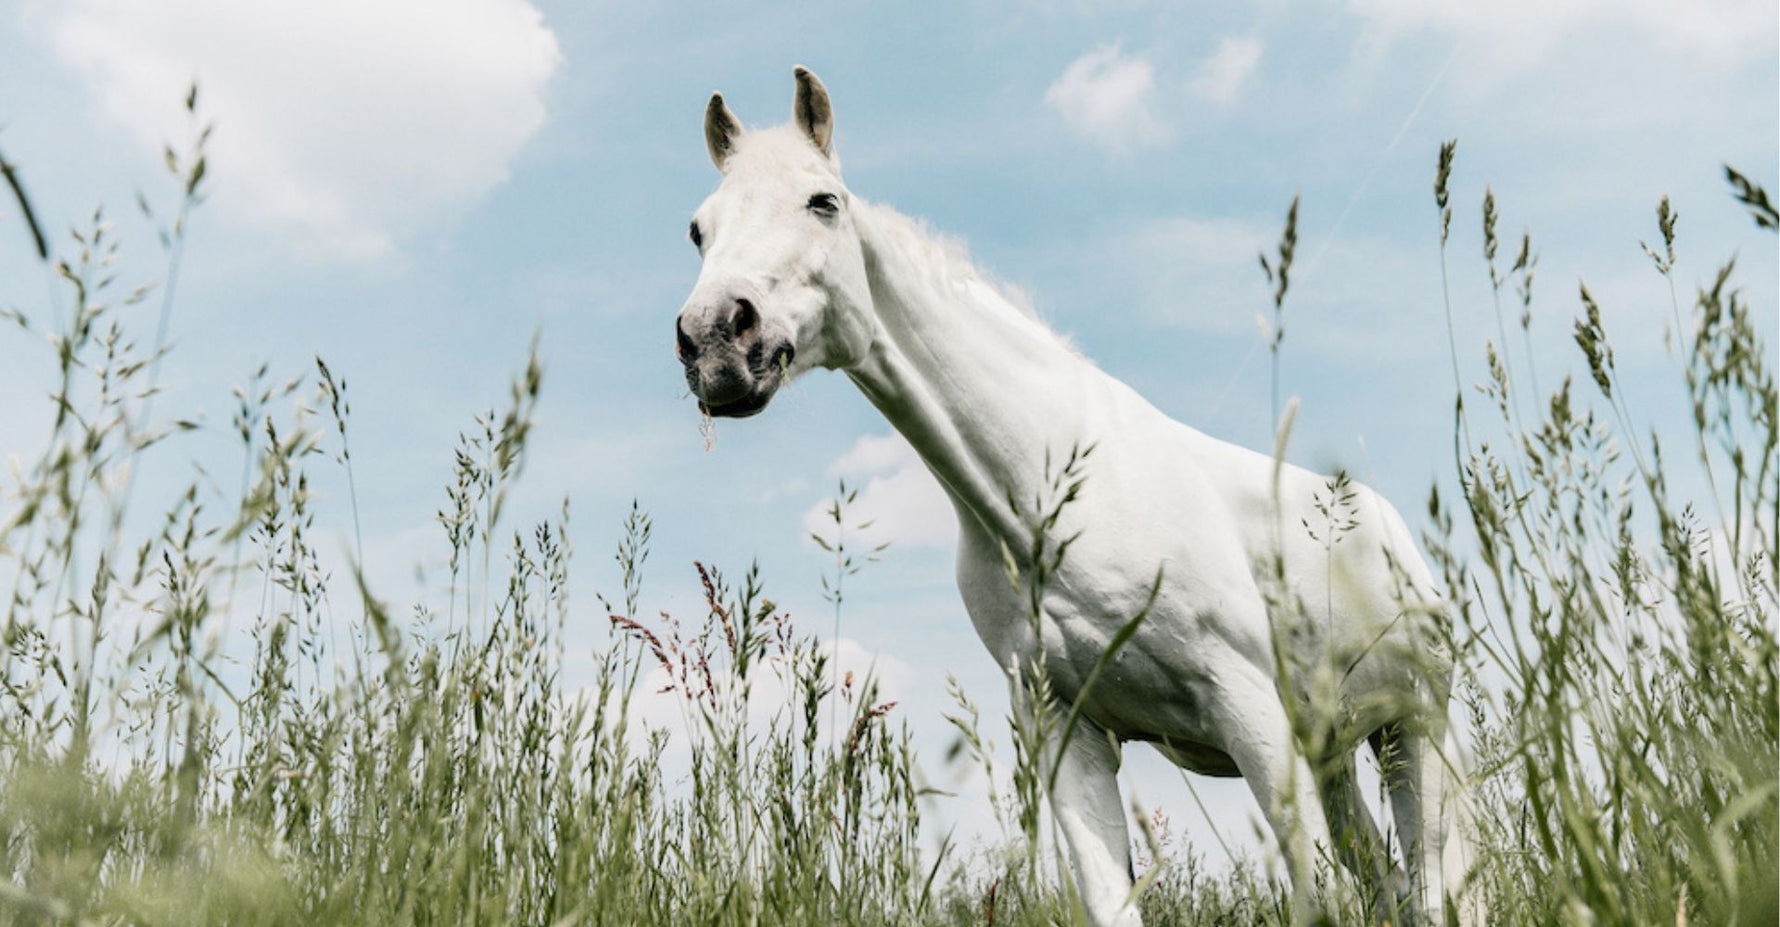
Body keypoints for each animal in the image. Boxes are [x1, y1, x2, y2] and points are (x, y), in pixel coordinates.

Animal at [673, 66, 1471, 926]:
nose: (716, 339)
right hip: (1335, 750)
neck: (1049, 492)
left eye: (823, 201)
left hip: (1414, 731)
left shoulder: (1252, 712)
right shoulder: (1068, 732)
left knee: (1437, 882)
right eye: (698, 229)